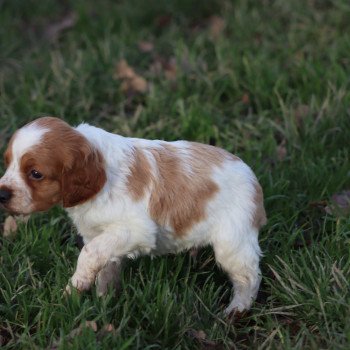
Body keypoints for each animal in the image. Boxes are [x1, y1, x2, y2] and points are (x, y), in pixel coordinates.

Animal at [0, 117, 266, 314]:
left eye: (35, 174)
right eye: (8, 162)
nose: (1, 193)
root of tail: (254, 180)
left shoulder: (137, 230)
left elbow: (89, 254)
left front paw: (75, 287)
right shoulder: (101, 234)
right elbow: (105, 263)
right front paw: (104, 299)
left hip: (233, 243)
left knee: (249, 277)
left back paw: (236, 310)